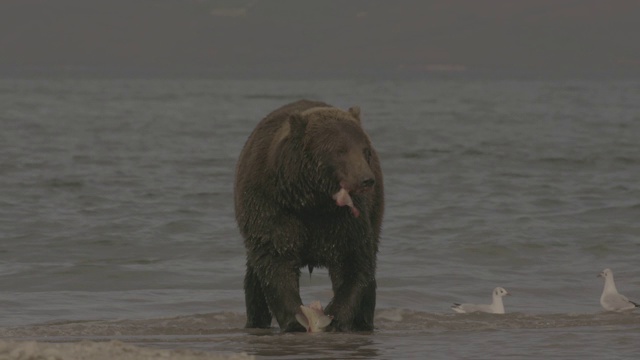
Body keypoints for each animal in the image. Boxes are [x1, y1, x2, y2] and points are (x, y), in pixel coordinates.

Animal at [235, 98, 384, 332]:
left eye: (365, 150)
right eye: (340, 150)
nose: (366, 179)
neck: (312, 200)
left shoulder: (345, 221)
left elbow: (352, 261)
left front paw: (334, 318)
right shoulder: (272, 208)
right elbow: (276, 261)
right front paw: (296, 320)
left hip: (375, 211)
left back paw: (364, 322)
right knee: (254, 279)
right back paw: (255, 321)